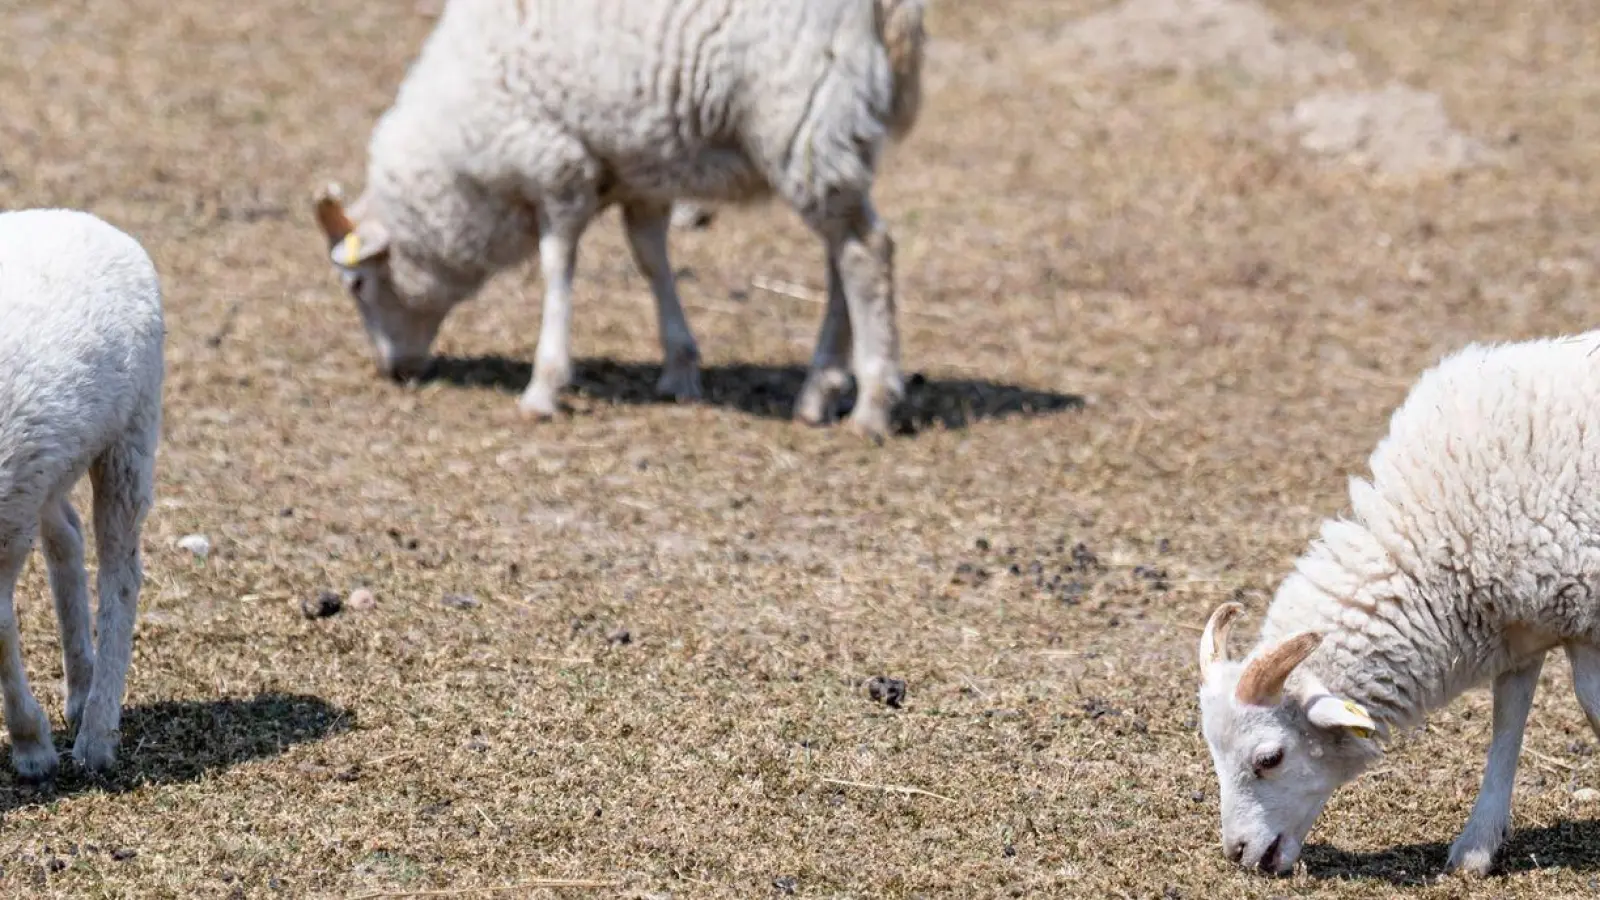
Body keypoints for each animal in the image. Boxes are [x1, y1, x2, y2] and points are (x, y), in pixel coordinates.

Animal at [0, 206, 163, 775]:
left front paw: (31, 746)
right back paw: (80, 689)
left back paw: (96, 732)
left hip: (130, 434)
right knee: (68, 538)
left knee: (121, 572)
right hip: (45, 471)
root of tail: (79, 217)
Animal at [310, 0, 928, 438]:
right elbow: (650, 259)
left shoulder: (557, 165)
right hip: (833, 138)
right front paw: (680, 369)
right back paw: (818, 394)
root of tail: (894, 9)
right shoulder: (639, 168)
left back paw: (872, 405)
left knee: (866, 252)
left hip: (804, 118)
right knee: (842, 257)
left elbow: (558, 267)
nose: (392, 370)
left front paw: (544, 387)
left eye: (357, 284)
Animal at [1196, 328, 1600, 871]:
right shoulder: (1525, 624)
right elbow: (1508, 720)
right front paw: (1477, 845)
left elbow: (1590, 705)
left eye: (1269, 758)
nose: (1238, 853)